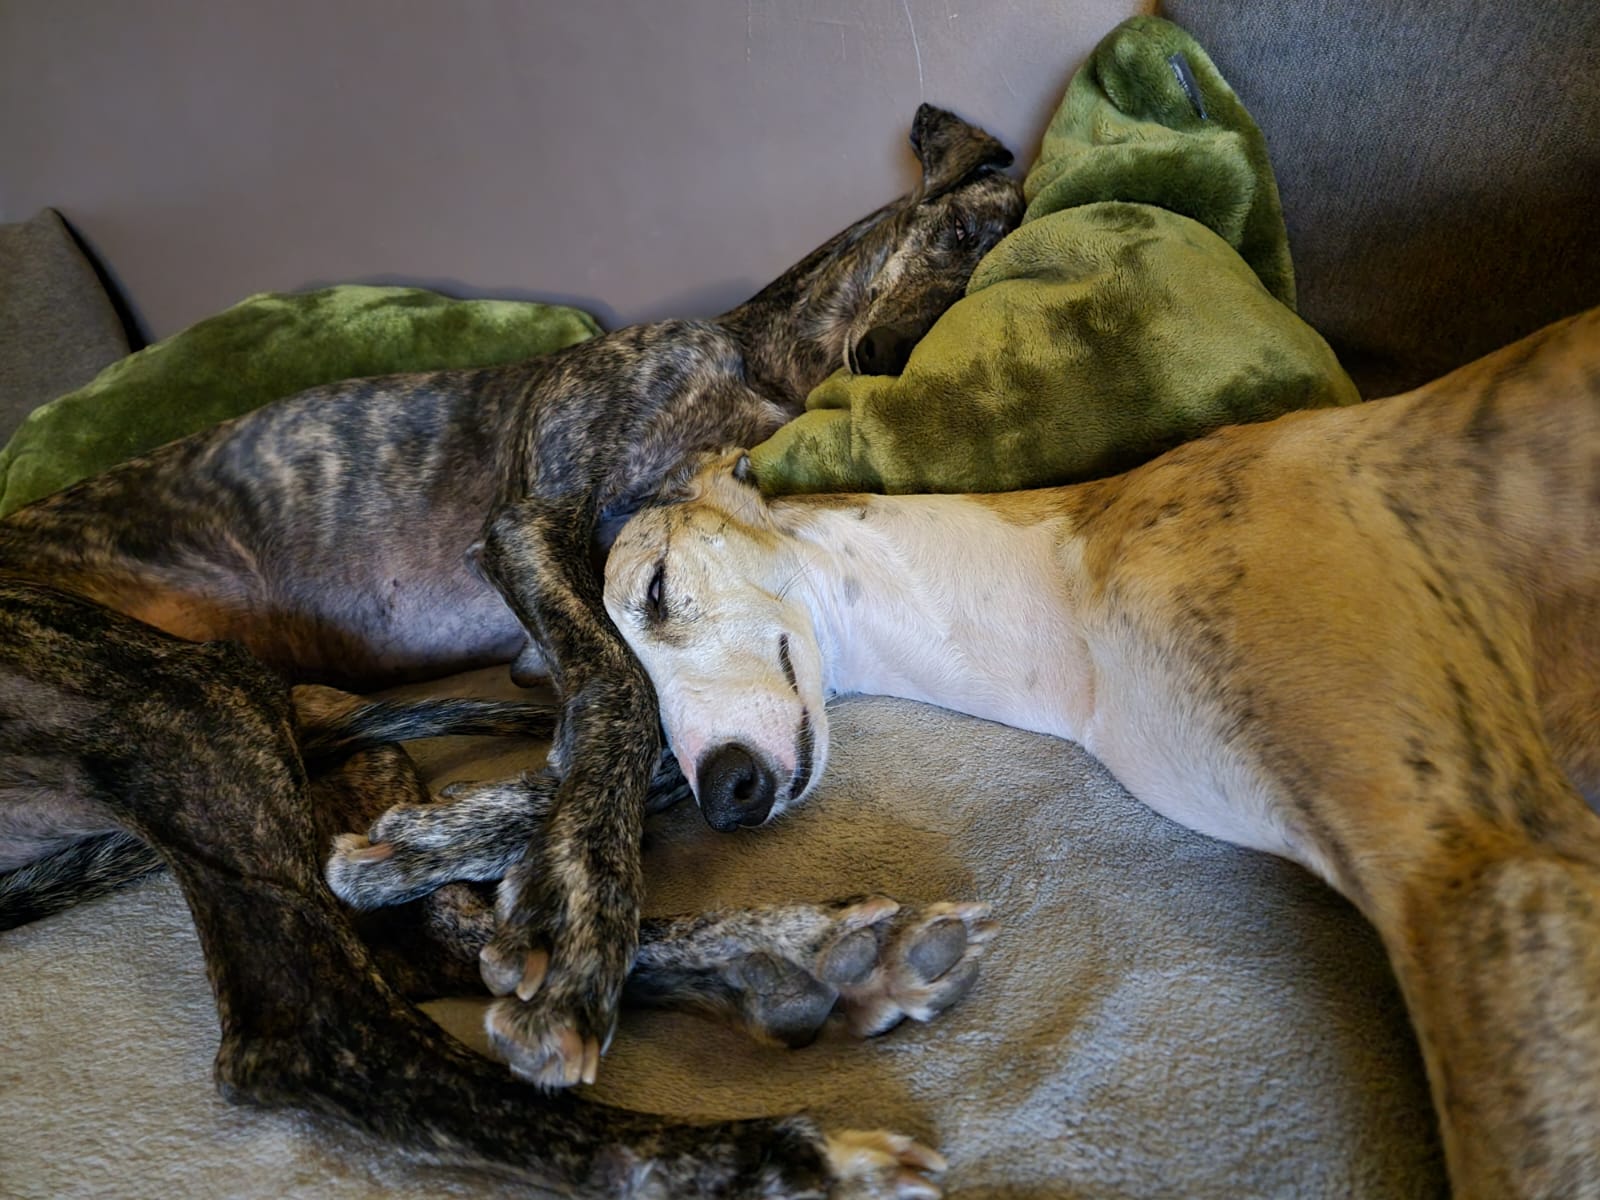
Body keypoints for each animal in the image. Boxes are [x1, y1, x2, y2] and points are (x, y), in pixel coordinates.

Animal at [0, 103, 1023, 1086]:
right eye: (956, 232)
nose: (887, 352)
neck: (759, 365)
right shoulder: (528, 525)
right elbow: (619, 695)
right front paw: (575, 902)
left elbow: (630, 718)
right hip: (194, 702)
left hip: (307, 727)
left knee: (419, 932)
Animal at [0, 576, 995, 1197]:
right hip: (188, 700)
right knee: (318, 1030)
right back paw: (780, 1151)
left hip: (260, 719)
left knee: (437, 937)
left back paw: (810, 957)